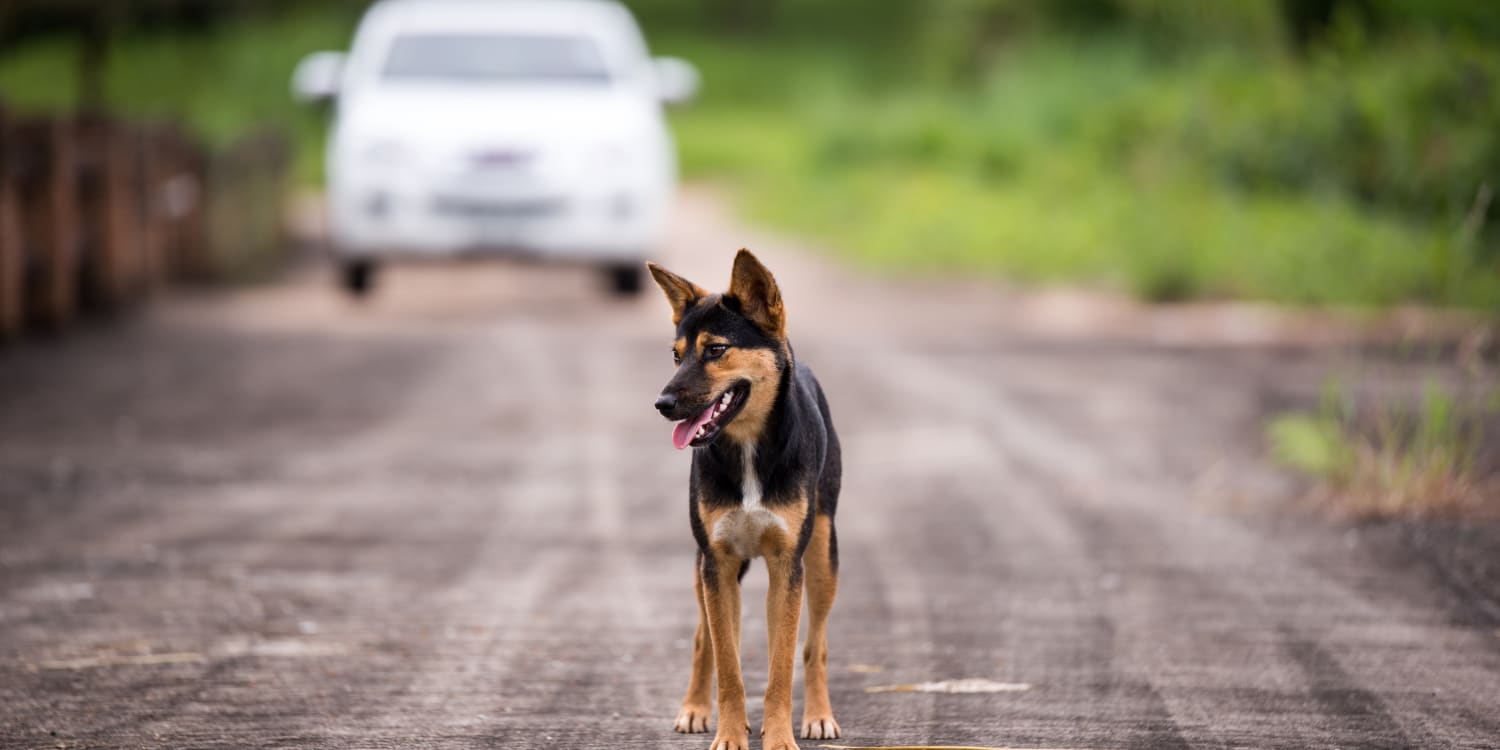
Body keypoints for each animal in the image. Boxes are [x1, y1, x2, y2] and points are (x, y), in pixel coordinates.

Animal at [648, 250, 846, 750]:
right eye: (676, 355)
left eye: (716, 350)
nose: (662, 404)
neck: (749, 449)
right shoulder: (716, 563)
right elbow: (728, 663)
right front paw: (729, 733)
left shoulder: (787, 565)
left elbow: (782, 664)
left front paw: (779, 737)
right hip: (706, 571)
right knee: (705, 639)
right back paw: (696, 708)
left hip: (822, 558)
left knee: (815, 645)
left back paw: (818, 715)